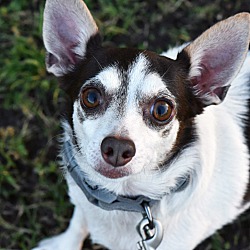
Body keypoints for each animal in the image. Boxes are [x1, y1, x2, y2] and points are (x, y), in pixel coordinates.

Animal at [33, 0, 250, 250]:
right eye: (91, 97)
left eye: (162, 110)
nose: (117, 147)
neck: (123, 199)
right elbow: (79, 219)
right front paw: (65, 244)